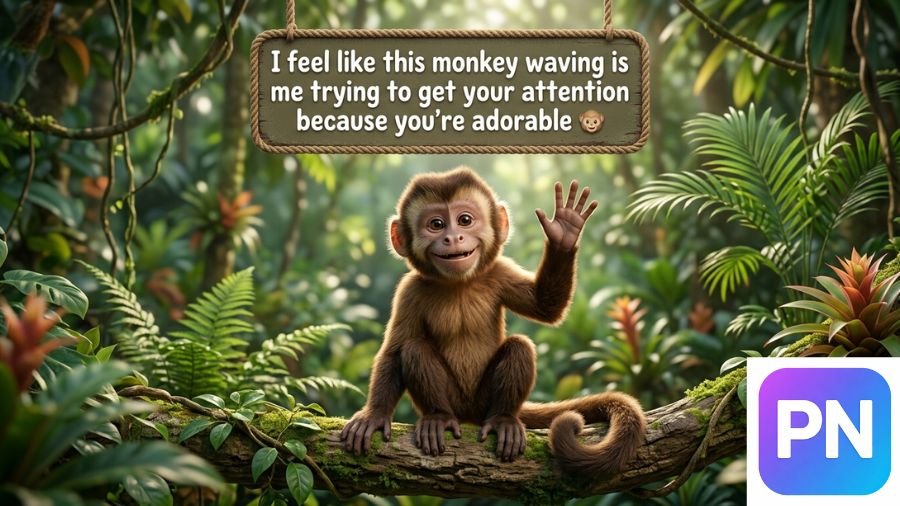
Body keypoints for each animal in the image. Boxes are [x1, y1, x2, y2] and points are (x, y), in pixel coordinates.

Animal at [340, 167, 645, 480]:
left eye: (465, 220)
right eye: (436, 224)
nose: (453, 237)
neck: (459, 284)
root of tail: (471, 413)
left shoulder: (499, 271)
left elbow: (545, 307)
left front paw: (565, 231)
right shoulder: (409, 291)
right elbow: (393, 351)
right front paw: (374, 415)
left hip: (484, 400)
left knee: (519, 347)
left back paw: (503, 420)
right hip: (457, 401)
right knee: (413, 348)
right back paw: (438, 417)